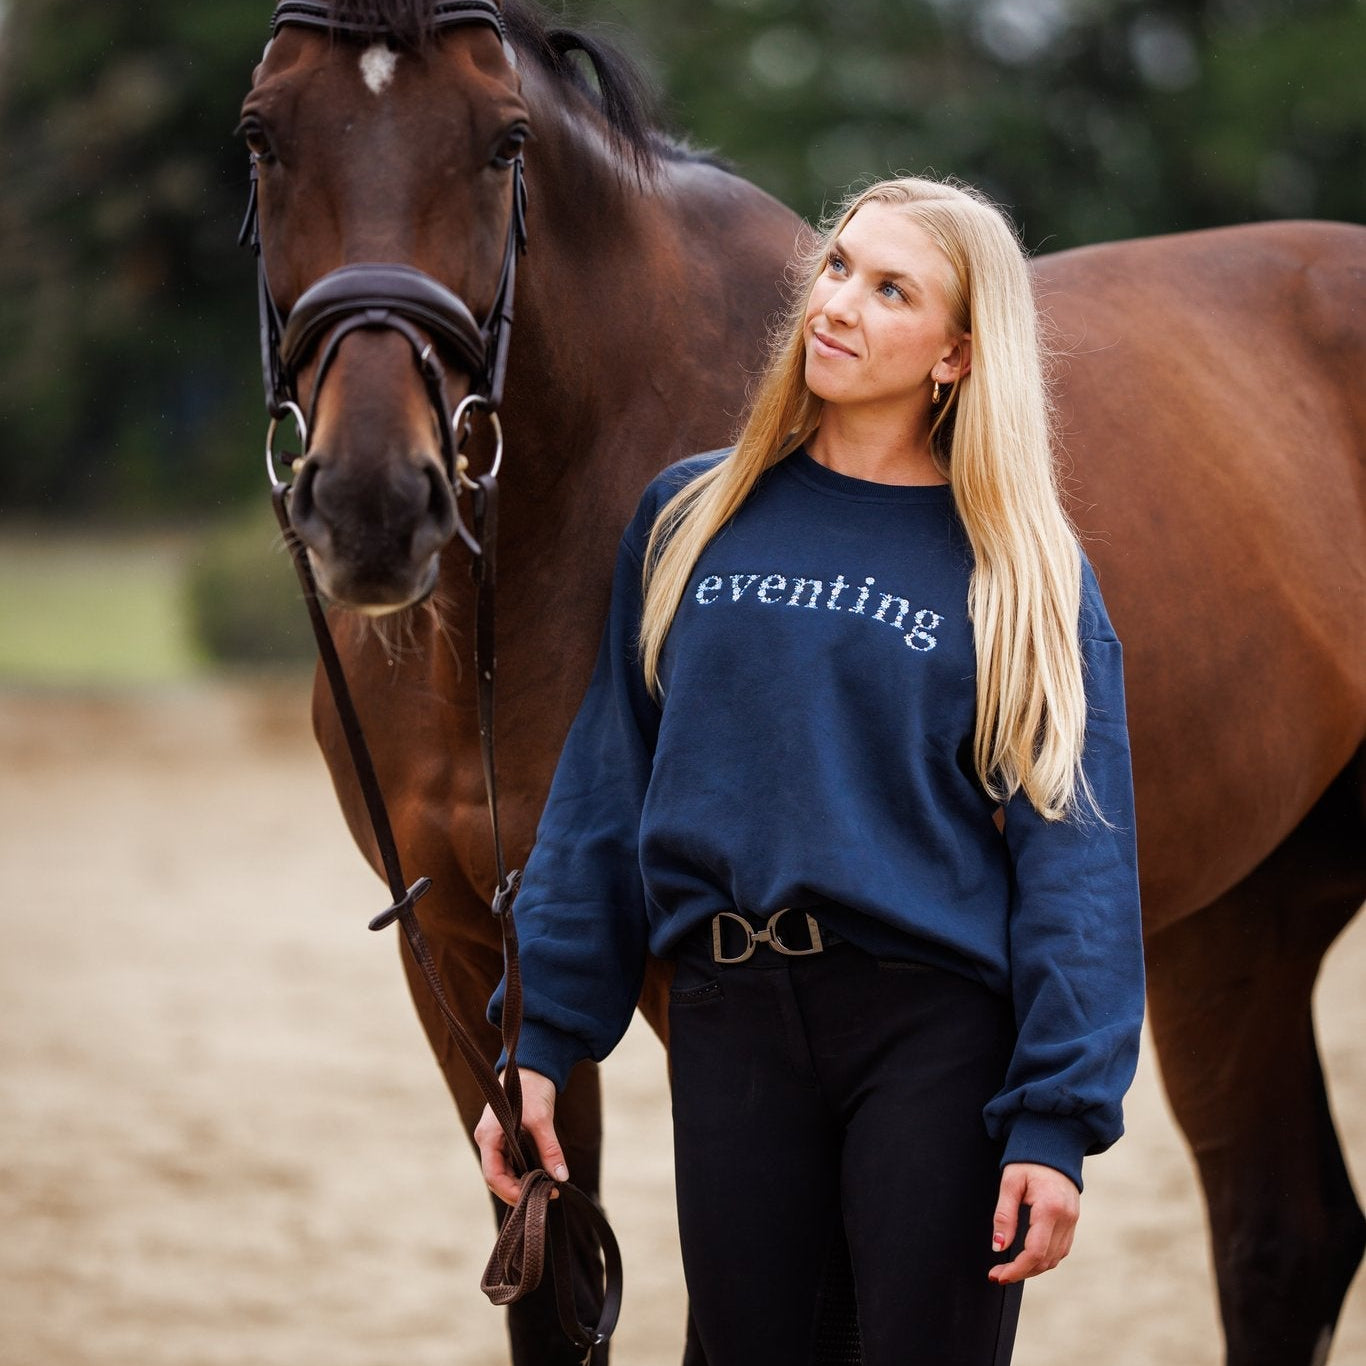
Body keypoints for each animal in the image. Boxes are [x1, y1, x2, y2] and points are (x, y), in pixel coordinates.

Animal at [237, 2, 1366, 1366]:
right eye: (262, 135)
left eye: (502, 141)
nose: (371, 505)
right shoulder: (462, 961)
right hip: (1235, 922)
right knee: (1283, 1232)